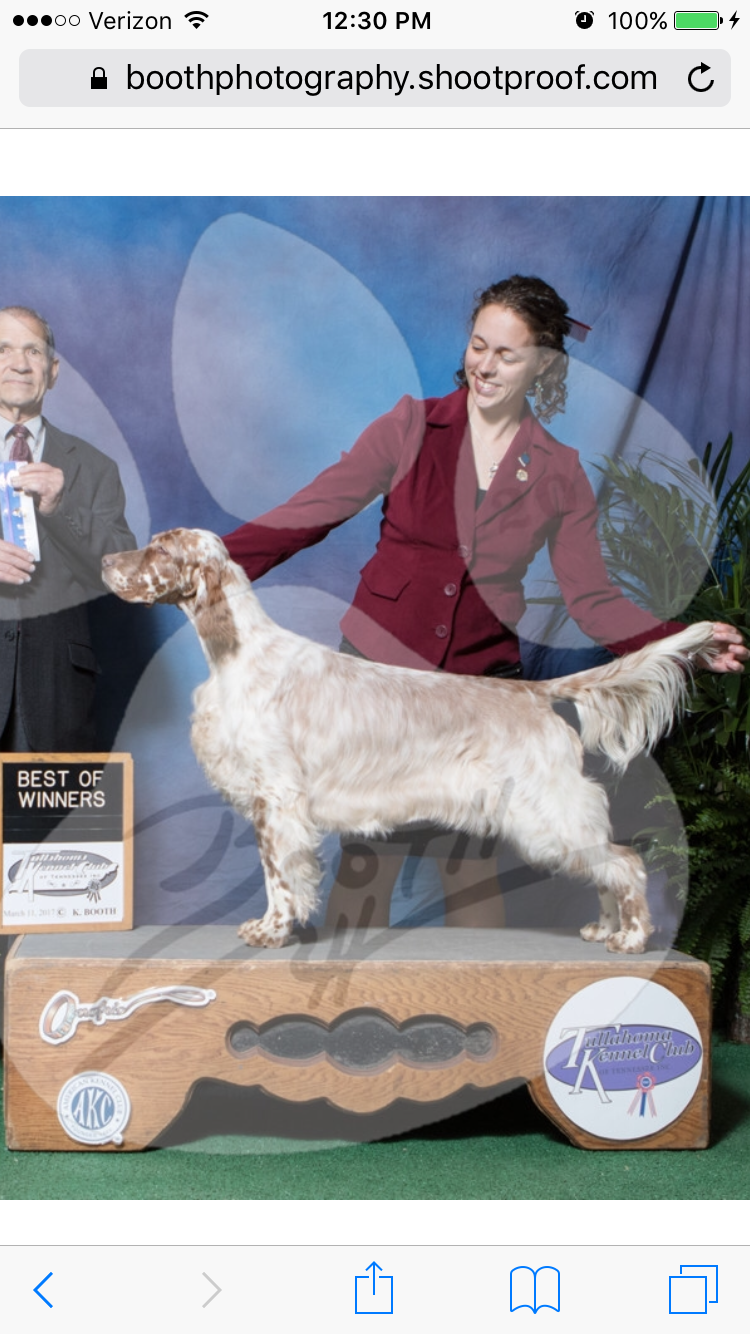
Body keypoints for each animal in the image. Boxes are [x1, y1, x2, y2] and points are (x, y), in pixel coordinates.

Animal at [100, 525, 709, 955]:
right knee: (605, 868)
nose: (105, 561)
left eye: (159, 549)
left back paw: (631, 937)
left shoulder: (276, 800)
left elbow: (279, 876)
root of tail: (534, 693)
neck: (236, 653)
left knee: (624, 863)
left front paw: (271, 931)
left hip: (548, 812)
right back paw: (602, 930)